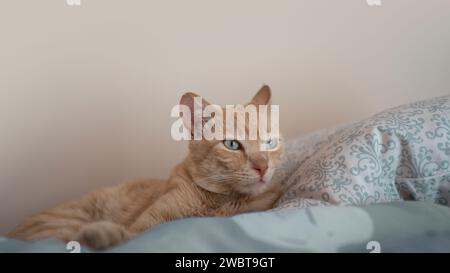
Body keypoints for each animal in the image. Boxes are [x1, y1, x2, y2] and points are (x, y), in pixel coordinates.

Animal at [8, 85, 284, 249]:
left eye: (269, 142)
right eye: (232, 145)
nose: (262, 166)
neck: (222, 203)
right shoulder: (145, 227)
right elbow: (131, 235)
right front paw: (105, 235)